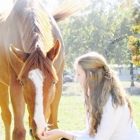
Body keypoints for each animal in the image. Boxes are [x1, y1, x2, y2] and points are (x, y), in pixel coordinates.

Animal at [0, 0, 83, 140]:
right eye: (22, 82)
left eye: (53, 82)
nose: (39, 129)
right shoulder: (15, 85)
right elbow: (19, 131)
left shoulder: (59, 84)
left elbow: (53, 127)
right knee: (7, 116)